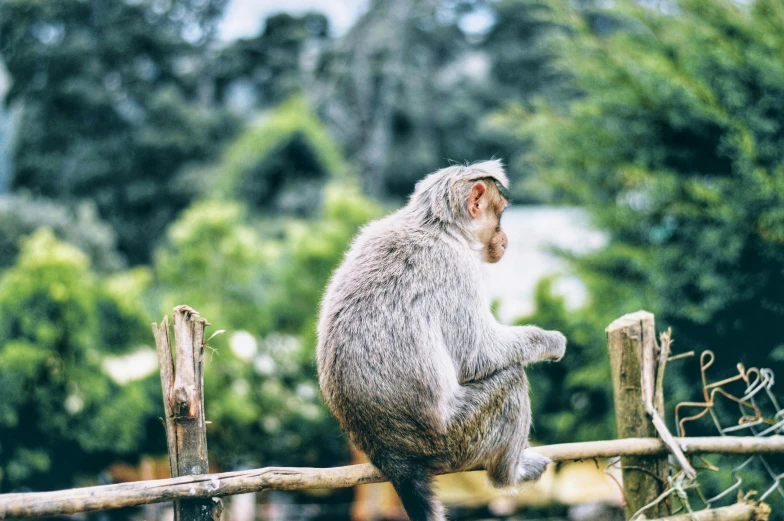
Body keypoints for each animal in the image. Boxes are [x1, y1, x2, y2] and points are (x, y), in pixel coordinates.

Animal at [316, 160, 568, 516]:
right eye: (500, 214)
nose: (505, 239)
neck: (436, 226)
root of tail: (392, 456)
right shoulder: (457, 268)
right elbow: (477, 355)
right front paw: (549, 340)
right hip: (456, 436)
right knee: (510, 380)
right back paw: (509, 475)